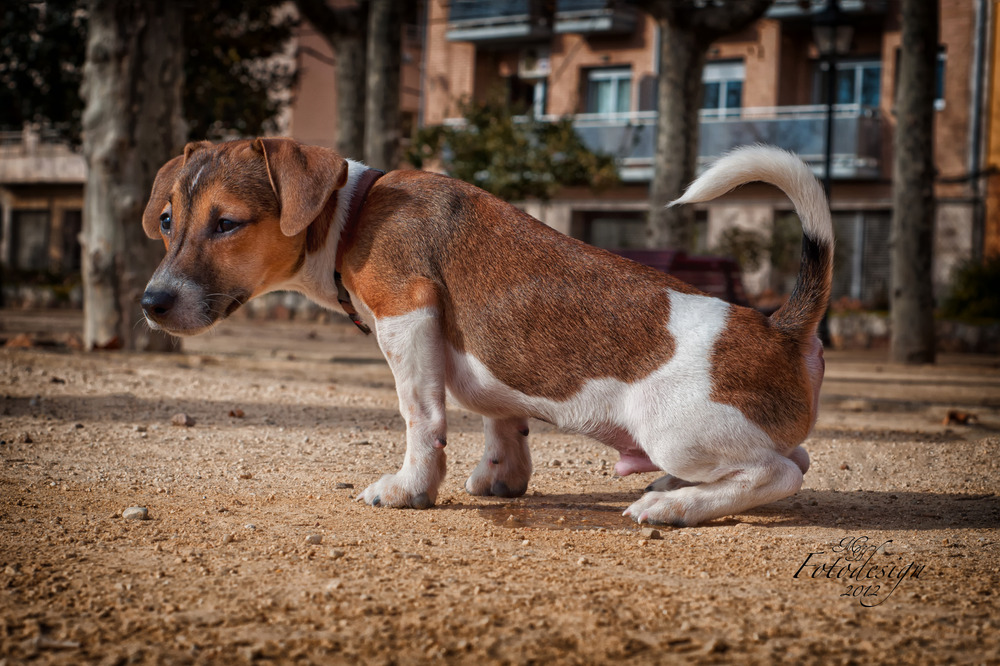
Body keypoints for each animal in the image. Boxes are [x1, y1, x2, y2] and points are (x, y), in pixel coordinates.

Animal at [139, 139, 828, 524]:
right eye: (168, 220)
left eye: (227, 223)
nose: (151, 303)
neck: (353, 211)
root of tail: (780, 329)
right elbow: (501, 415)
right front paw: (503, 474)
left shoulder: (407, 317)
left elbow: (421, 418)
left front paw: (410, 489)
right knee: (791, 458)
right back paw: (674, 489)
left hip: (677, 432)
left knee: (782, 473)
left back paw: (674, 505)